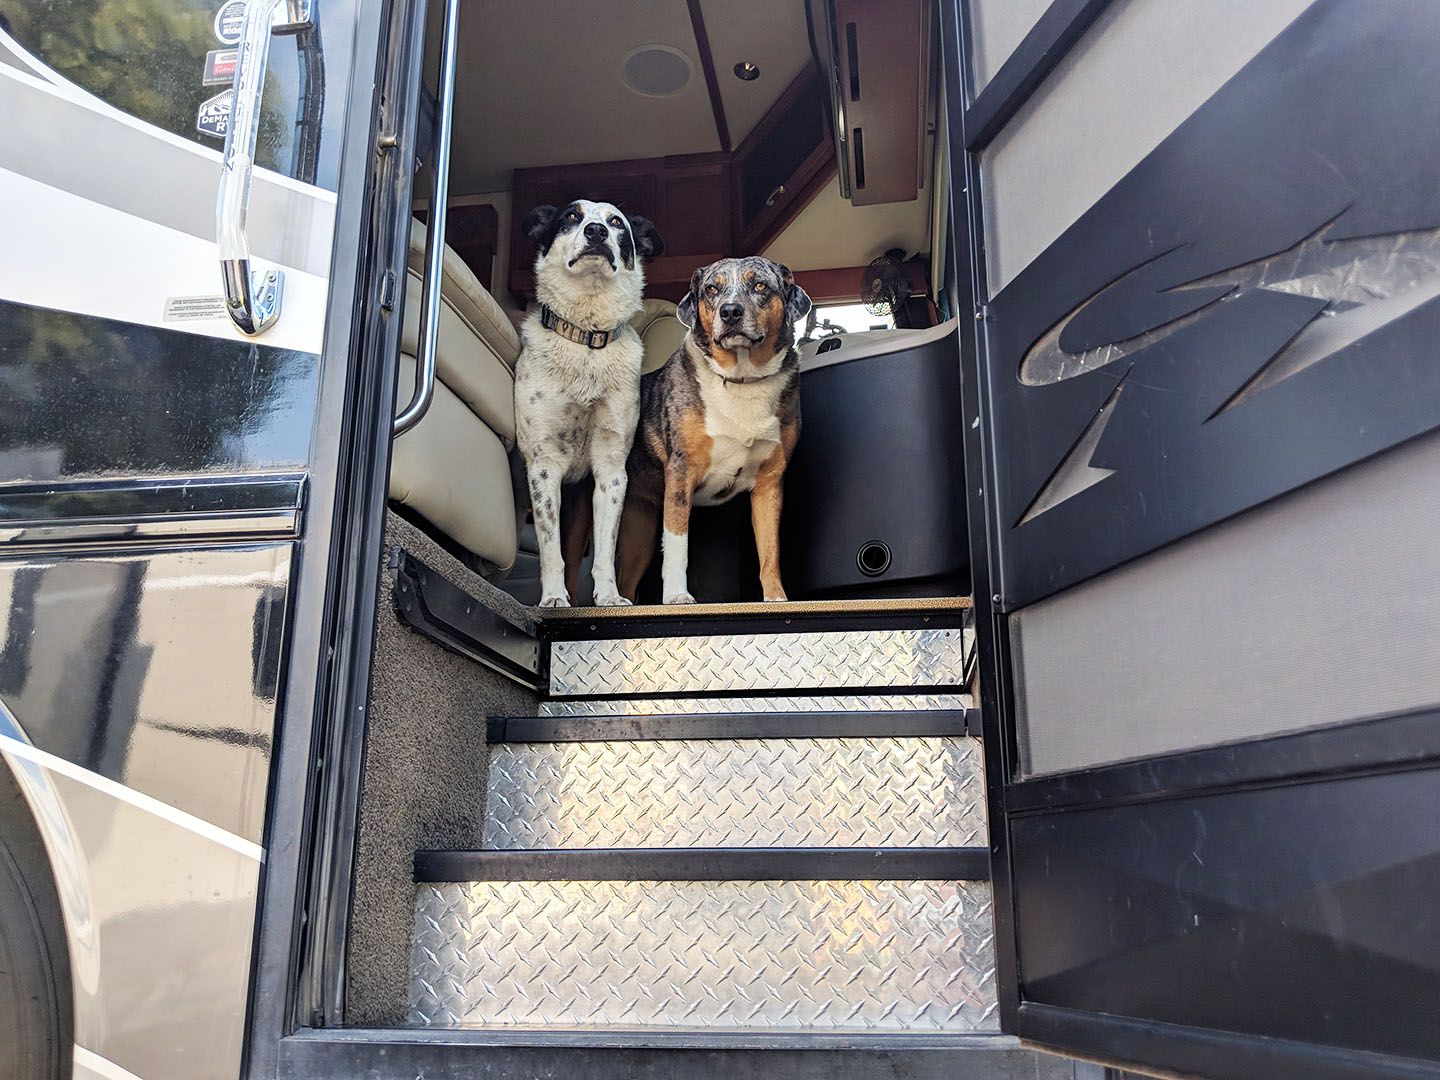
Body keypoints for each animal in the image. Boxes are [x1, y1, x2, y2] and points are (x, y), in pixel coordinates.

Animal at [512, 201, 662, 610]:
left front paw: (608, 597)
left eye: (617, 222)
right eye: (570, 217)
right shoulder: (543, 467)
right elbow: (551, 549)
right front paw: (552, 599)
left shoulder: (611, 471)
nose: (596, 231)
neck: (586, 339)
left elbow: (605, 551)